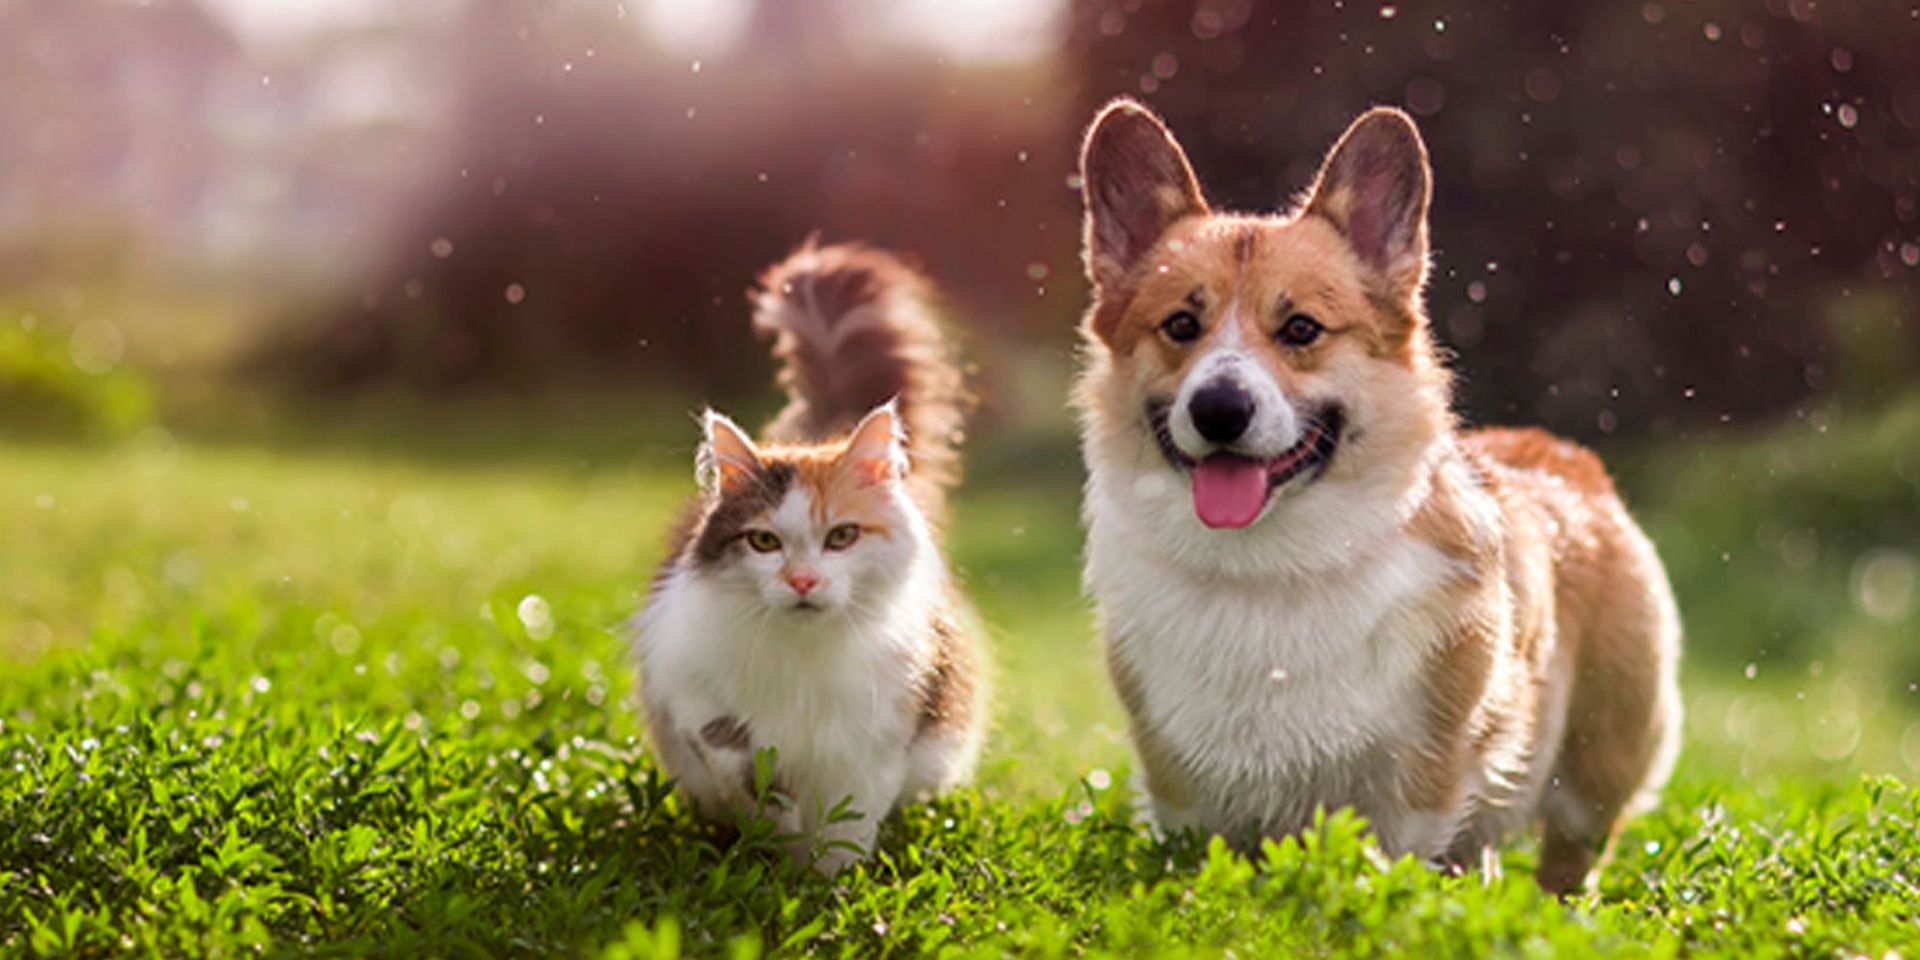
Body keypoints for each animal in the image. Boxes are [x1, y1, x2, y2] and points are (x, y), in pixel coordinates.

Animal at [633, 238, 983, 871]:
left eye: (841, 538)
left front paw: (826, 883)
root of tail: (822, 433)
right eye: (764, 542)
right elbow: (740, 758)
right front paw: (779, 840)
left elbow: (848, 827)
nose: (801, 581)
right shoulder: (686, 687)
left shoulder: (876, 740)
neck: (804, 656)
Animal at [1075, 99, 1689, 890]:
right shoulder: (1182, 789)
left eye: (1301, 328)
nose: (1218, 410)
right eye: (1181, 325)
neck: (1270, 568)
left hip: (1595, 768)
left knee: (1569, 859)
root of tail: (1564, 455)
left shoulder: (1421, 782)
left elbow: (1396, 861)